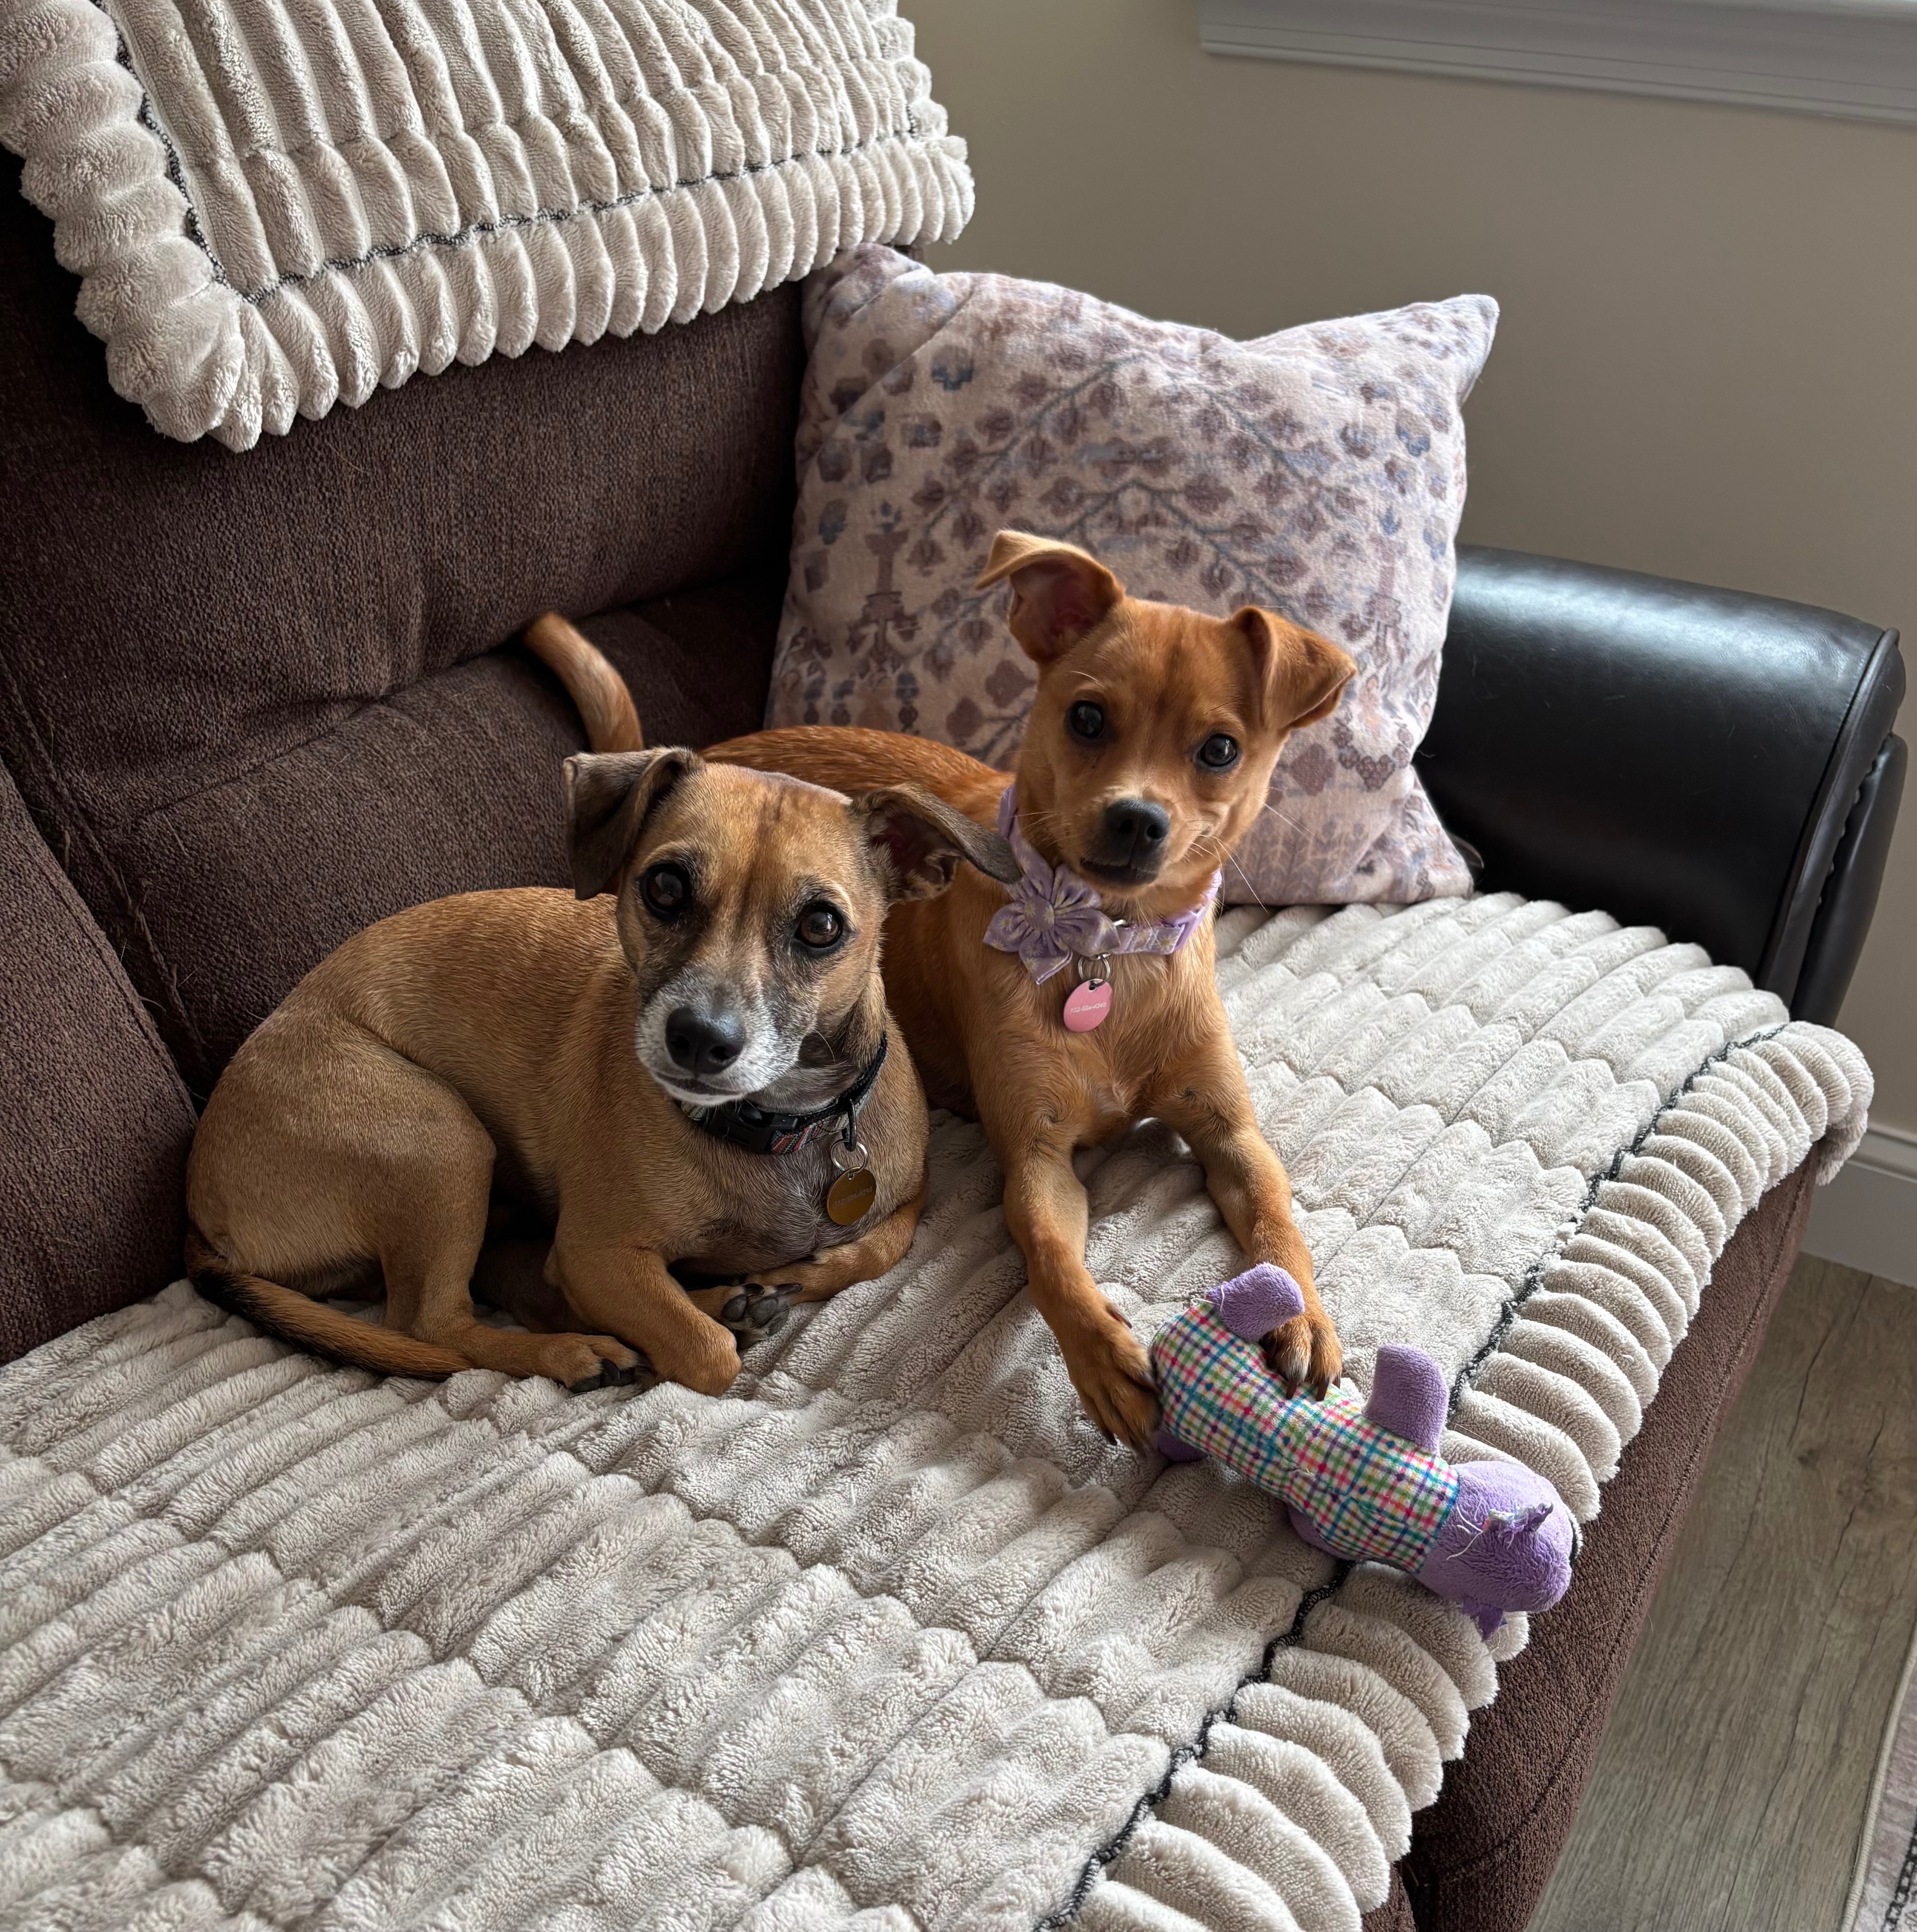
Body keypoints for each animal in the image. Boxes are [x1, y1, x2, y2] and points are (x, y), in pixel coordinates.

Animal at [186, 740, 1015, 1391]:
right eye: (664, 886)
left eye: (820, 926)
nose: (699, 1038)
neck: (774, 1123)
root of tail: (199, 1212)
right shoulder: (597, 1253)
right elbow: (707, 1355)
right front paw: (706, 1319)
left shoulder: (906, 1200)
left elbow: (867, 1249)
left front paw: (776, 1280)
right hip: (443, 1140)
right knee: (435, 1323)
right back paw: (582, 1349)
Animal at [530, 535, 1356, 1447]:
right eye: (1086, 718)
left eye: (1218, 750)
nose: (1136, 818)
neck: (1105, 950)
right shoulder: (1035, 1157)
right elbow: (1048, 1256)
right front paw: (1101, 1357)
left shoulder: (1229, 1132)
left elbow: (1277, 1216)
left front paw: (1301, 1312)